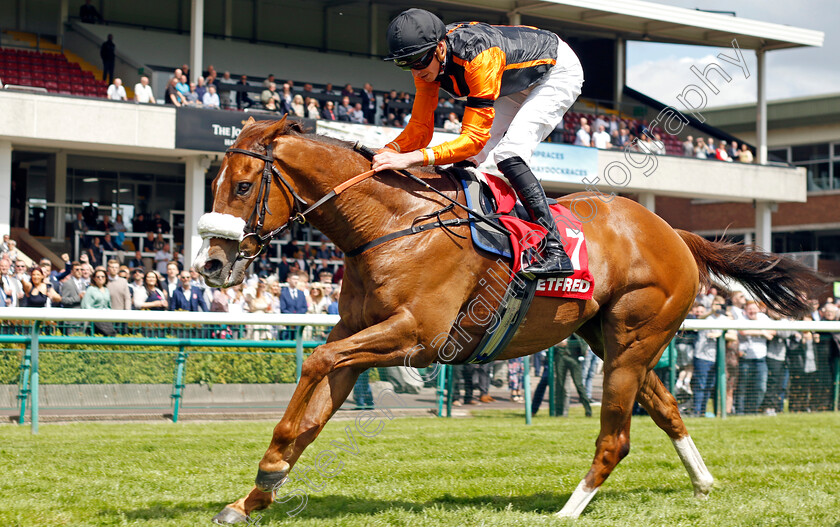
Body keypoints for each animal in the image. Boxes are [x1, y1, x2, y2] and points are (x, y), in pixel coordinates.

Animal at [199, 117, 820, 524]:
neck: (391, 225)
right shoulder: (357, 334)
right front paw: (254, 496)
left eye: (244, 186)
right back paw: (703, 484)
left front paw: (269, 470)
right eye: (214, 183)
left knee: (615, 438)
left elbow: (317, 367)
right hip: (612, 340)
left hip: (634, 339)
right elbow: (313, 412)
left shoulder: (417, 337)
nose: (210, 264)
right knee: (666, 408)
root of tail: (673, 231)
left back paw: (569, 510)